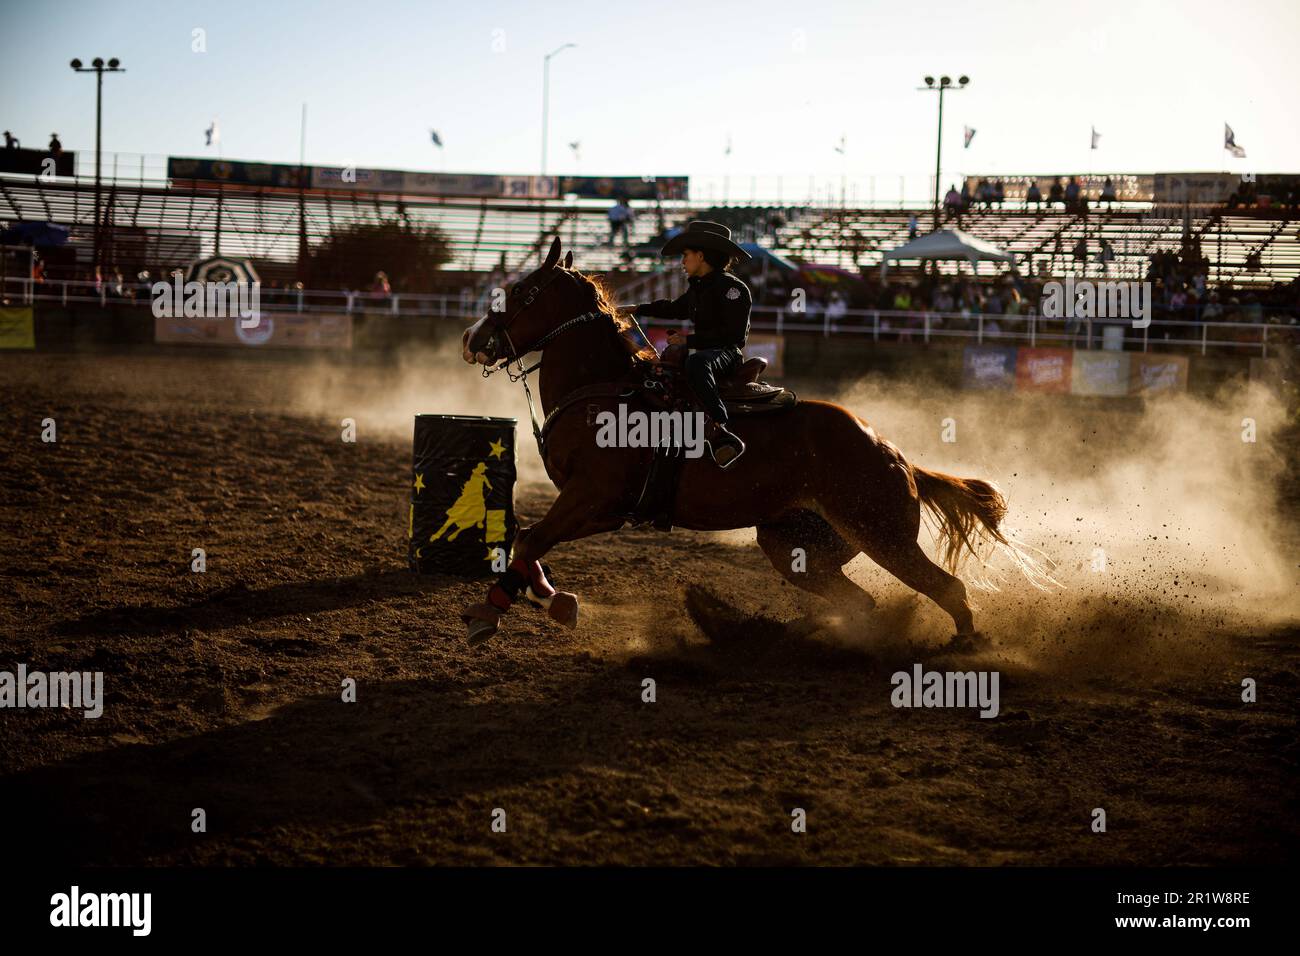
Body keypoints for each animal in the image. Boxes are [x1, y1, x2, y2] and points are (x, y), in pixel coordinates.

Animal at [465, 236, 1024, 650]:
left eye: (524, 291)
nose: (472, 338)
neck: (608, 388)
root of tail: (897, 456)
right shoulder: (602, 509)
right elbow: (528, 538)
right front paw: (554, 600)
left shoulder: (592, 498)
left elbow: (531, 538)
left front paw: (490, 614)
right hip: (794, 545)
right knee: (857, 603)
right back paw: (768, 635)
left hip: (883, 536)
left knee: (945, 588)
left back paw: (965, 647)